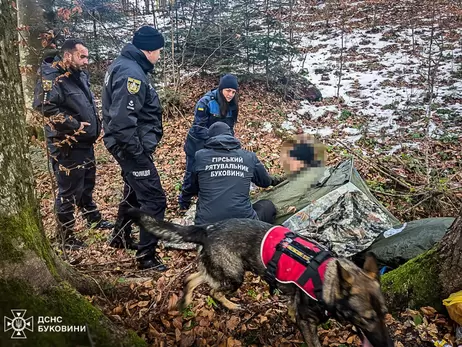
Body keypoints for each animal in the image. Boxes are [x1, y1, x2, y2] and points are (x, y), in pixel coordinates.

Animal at [128, 209, 392, 347]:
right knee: (211, 289)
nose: (389, 345)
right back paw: (226, 304)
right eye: (366, 318)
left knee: (194, 278)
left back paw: (186, 301)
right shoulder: (308, 322)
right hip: (234, 276)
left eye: (384, 314)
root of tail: (207, 228)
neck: (326, 283)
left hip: (223, 272)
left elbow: (291, 310)